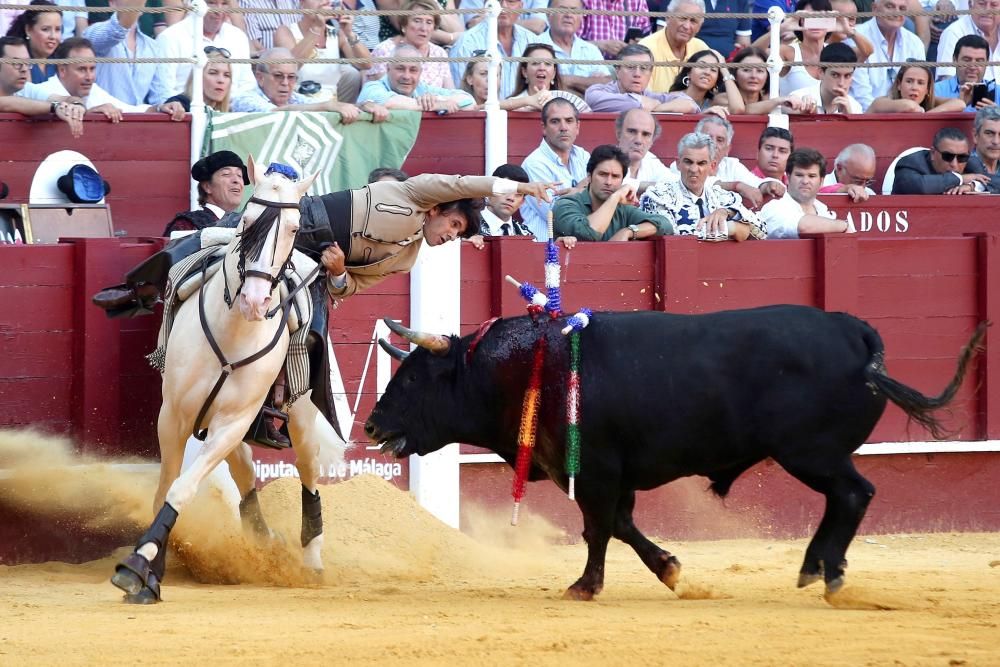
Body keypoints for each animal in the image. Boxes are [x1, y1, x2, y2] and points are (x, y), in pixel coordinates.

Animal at [114, 157, 344, 604]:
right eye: (247, 222)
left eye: (294, 229)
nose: (254, 301)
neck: (233, 331)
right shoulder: (174, 416)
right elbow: (165, 485)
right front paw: (150, 572)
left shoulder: (233, 421)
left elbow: (182, 488)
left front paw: (137, 565)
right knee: (245, 470)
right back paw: (261, 538)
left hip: (300, 415)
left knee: (307, 471)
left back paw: (311, 559)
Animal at [366, 306, 984, 604]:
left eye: (415, 377)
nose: (371, 424)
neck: (531, 367)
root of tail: (853, 330)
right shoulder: (614, 476)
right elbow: (620, 526)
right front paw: (670, 569)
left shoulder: (596, 469)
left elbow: (597, 529)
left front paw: (585, 586)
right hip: (816, 455)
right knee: (846, 499)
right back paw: (815, 569)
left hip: (812, 452)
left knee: (855, 494)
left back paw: (826, 573)